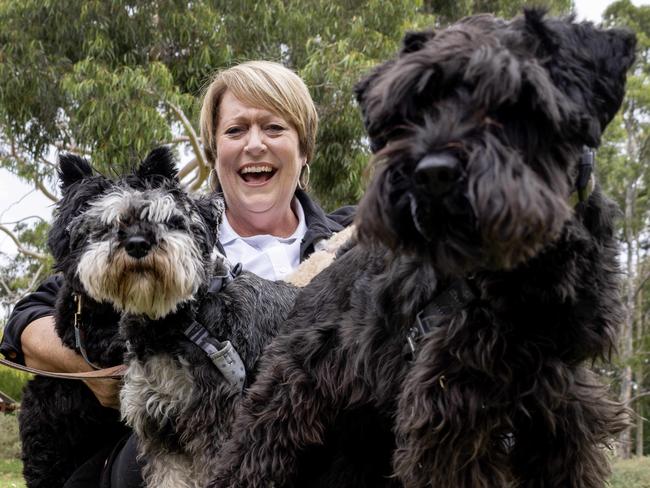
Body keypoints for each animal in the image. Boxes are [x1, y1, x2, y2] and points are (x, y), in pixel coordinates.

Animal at [211, 10, 632, 488]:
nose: (433, 173)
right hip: (285, 401)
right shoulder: (452, 407)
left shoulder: (562, 401)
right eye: (413, 108)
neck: (525, 275)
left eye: (511, 98)